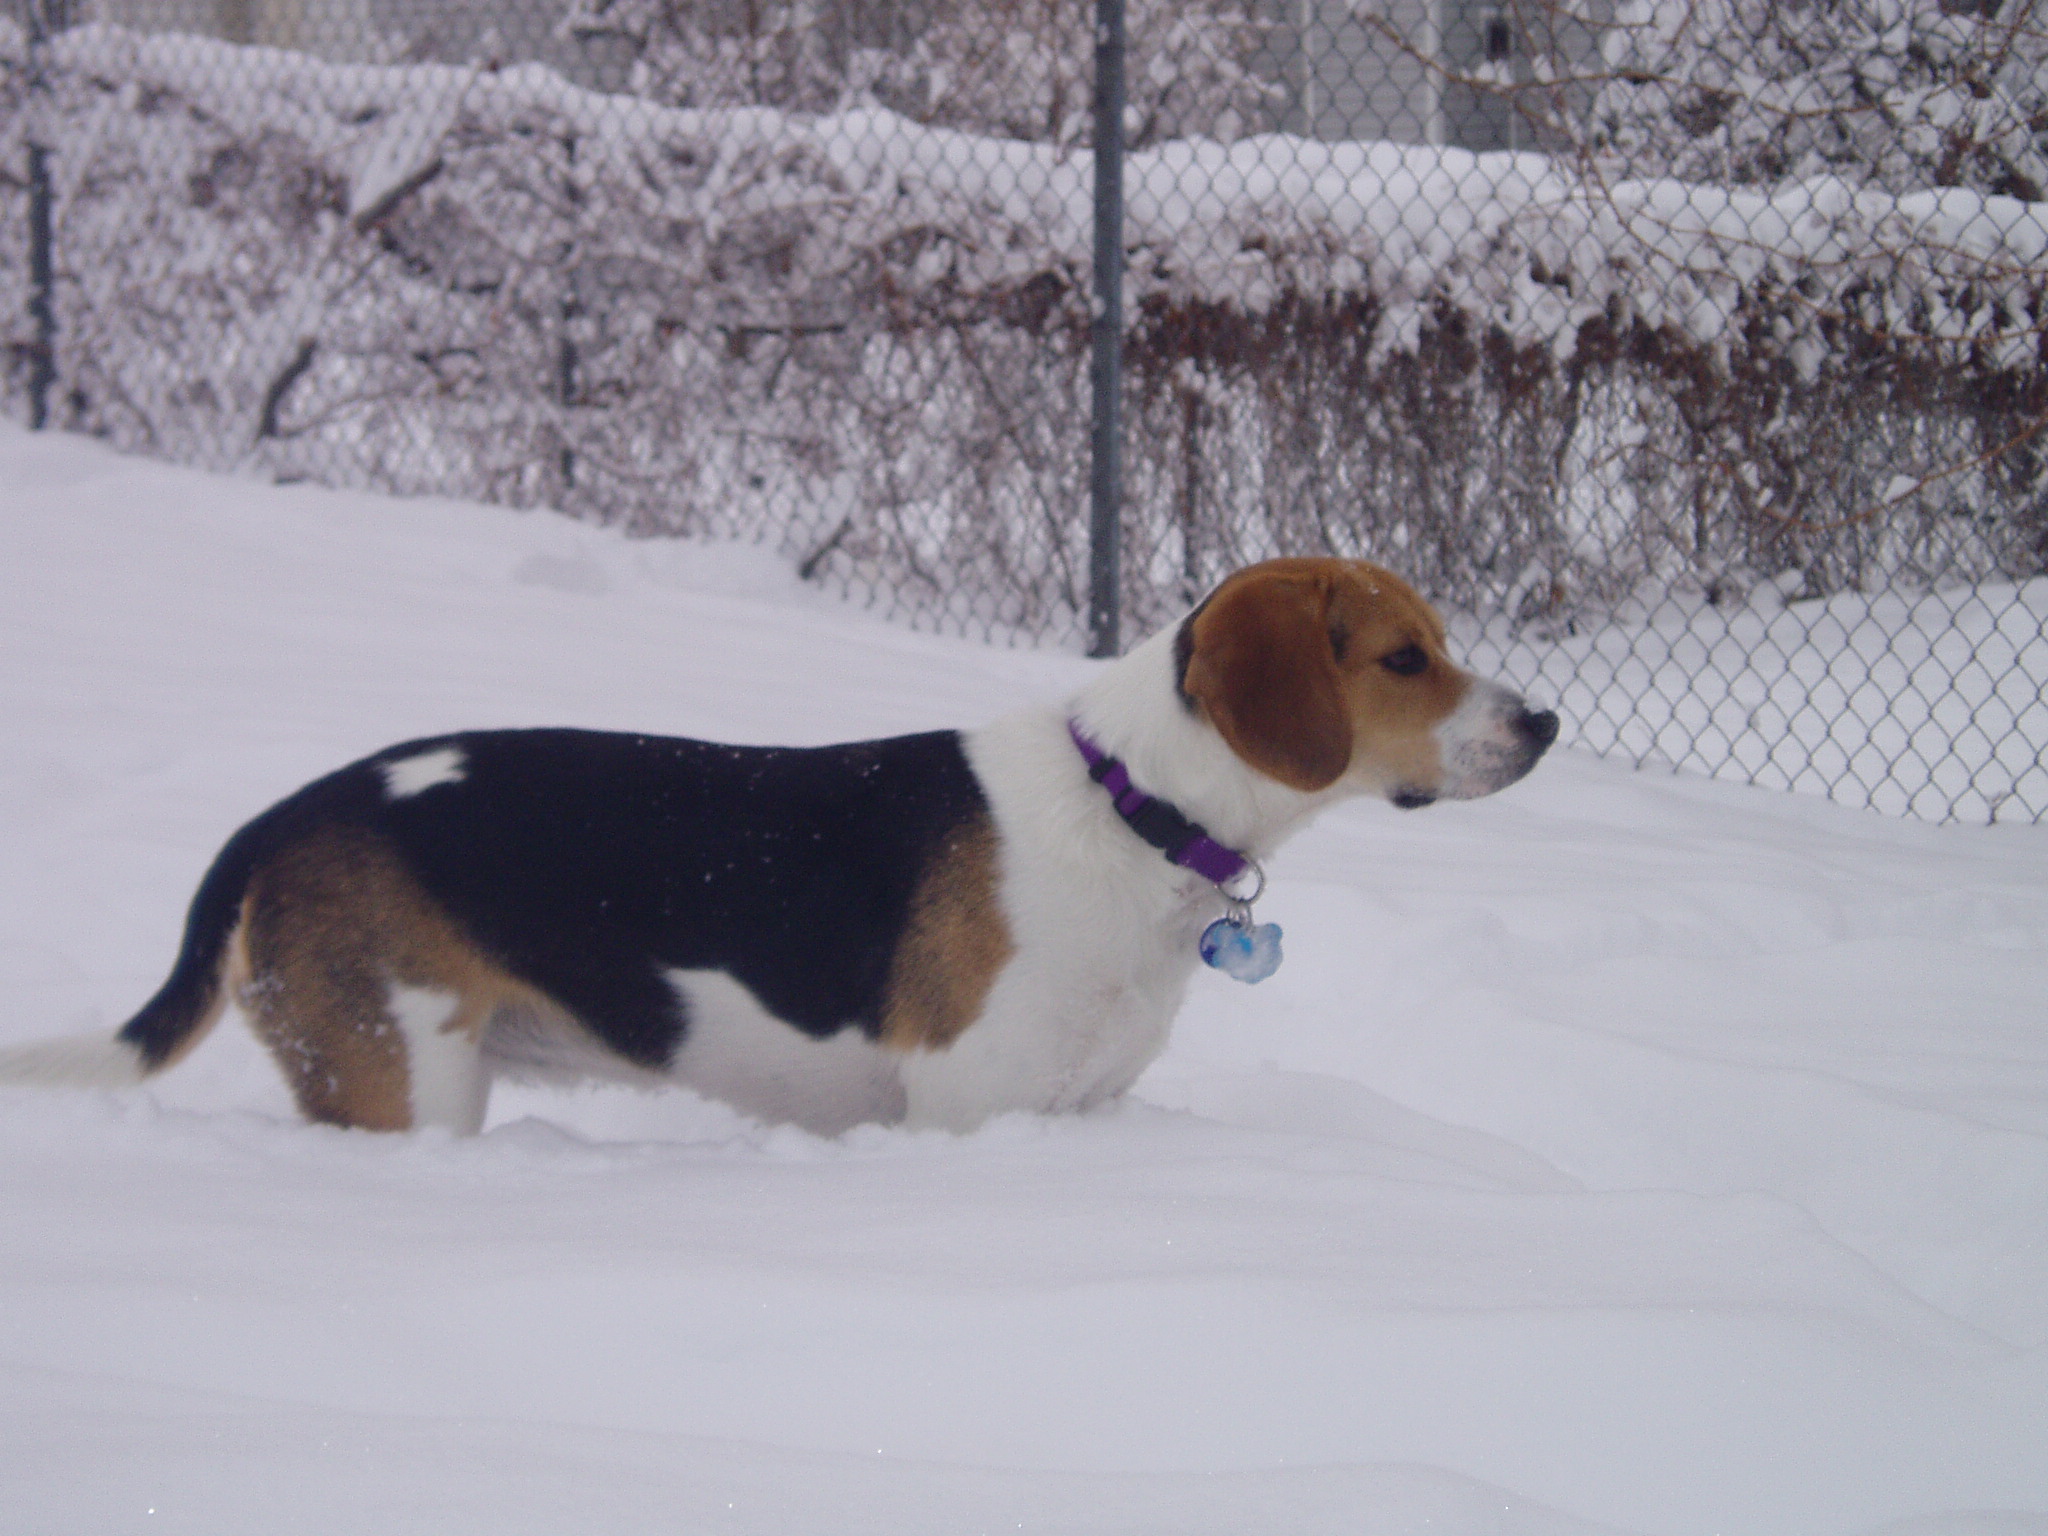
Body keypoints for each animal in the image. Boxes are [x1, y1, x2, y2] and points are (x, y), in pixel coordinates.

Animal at [0, 561, 1556, 1138]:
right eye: (1405, 659)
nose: (1541, 721)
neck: (1129, 807)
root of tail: (280, 815)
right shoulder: (969, 1112)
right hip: (403, 1081)